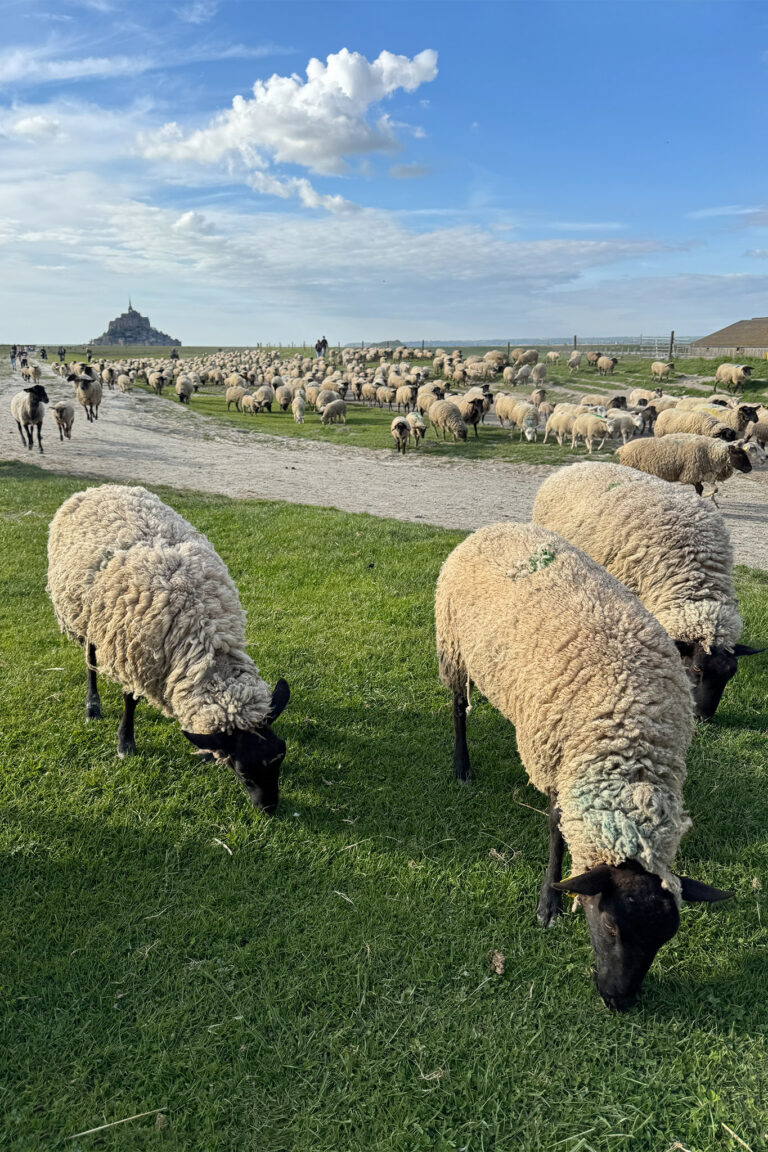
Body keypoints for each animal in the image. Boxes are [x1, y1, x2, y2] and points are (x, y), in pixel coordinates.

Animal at [47, 485, 291, 810]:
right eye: (241, 772)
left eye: (281, 754)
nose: (269, 809)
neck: (202, 634)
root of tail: (98, 488)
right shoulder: (135, 655)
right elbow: (130, 700)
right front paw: (125, 742)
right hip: (82, 616)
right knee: (90, 658)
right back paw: (92, 706)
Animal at [435, 521, 730, 1010]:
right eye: (609, 925)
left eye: (666, 939)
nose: (618, 1001)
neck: (632, 752)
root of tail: (498, 525)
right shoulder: (560, 760)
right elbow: (556, 831)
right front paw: (549, 905)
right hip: (453, 646)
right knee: (459, 706)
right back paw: (462, 767)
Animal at [617, 433, 752, 497]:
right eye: (739, 454)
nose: (749, 468)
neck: (710, 452)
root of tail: (622, 448)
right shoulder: (691, 472)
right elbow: (701, 489)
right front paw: (705, 497)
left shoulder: (699, 474)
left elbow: (706, 489)